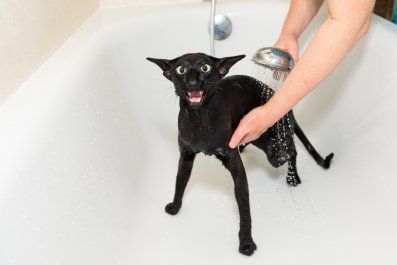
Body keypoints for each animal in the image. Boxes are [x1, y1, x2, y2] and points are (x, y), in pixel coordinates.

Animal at [145, 52, 332, 255]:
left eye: (205, 68)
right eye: (181, 69)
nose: (194, 83)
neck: (200, 119)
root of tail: (275, 95)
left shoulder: (236, 168)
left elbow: (245, 211)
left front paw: (246, 243)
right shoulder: (185, 156)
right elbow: (180, 183)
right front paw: (175, 207)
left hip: (272, 147)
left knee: (292, 151)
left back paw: (294, 178)